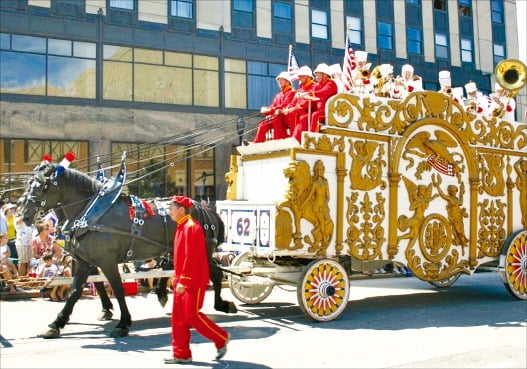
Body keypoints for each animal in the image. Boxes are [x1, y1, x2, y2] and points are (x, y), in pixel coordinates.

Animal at [18, 162, 236, 338]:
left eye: (40, 186)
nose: (24, 214)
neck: (88, 212)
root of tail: (207, 209)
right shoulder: (83, 261)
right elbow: (75, 290)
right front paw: (57, 323)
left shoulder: (106, 260)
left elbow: (117, 288)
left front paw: (122, 323)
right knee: (190, 271)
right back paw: (167, 295)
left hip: (200, 251)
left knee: (212, 275)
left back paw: (219, 304)